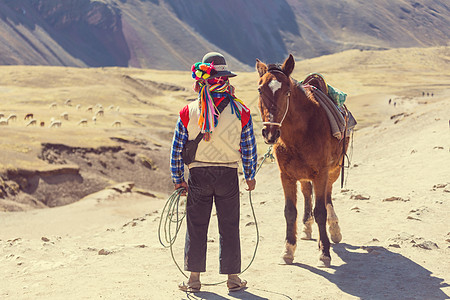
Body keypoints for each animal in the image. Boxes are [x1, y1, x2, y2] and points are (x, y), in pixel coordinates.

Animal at [255, 54, 350, 268]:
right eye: (260, 89)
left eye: (287, 91)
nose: (270, 133)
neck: (301, 132)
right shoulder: (286, 176)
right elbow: (290, 211)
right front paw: (288, 250)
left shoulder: (321, 173)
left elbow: (321, 210)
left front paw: (324, 253)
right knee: (307, 193)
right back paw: (307, 227)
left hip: (333, 169)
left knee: (328, 196)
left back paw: (334, 229)